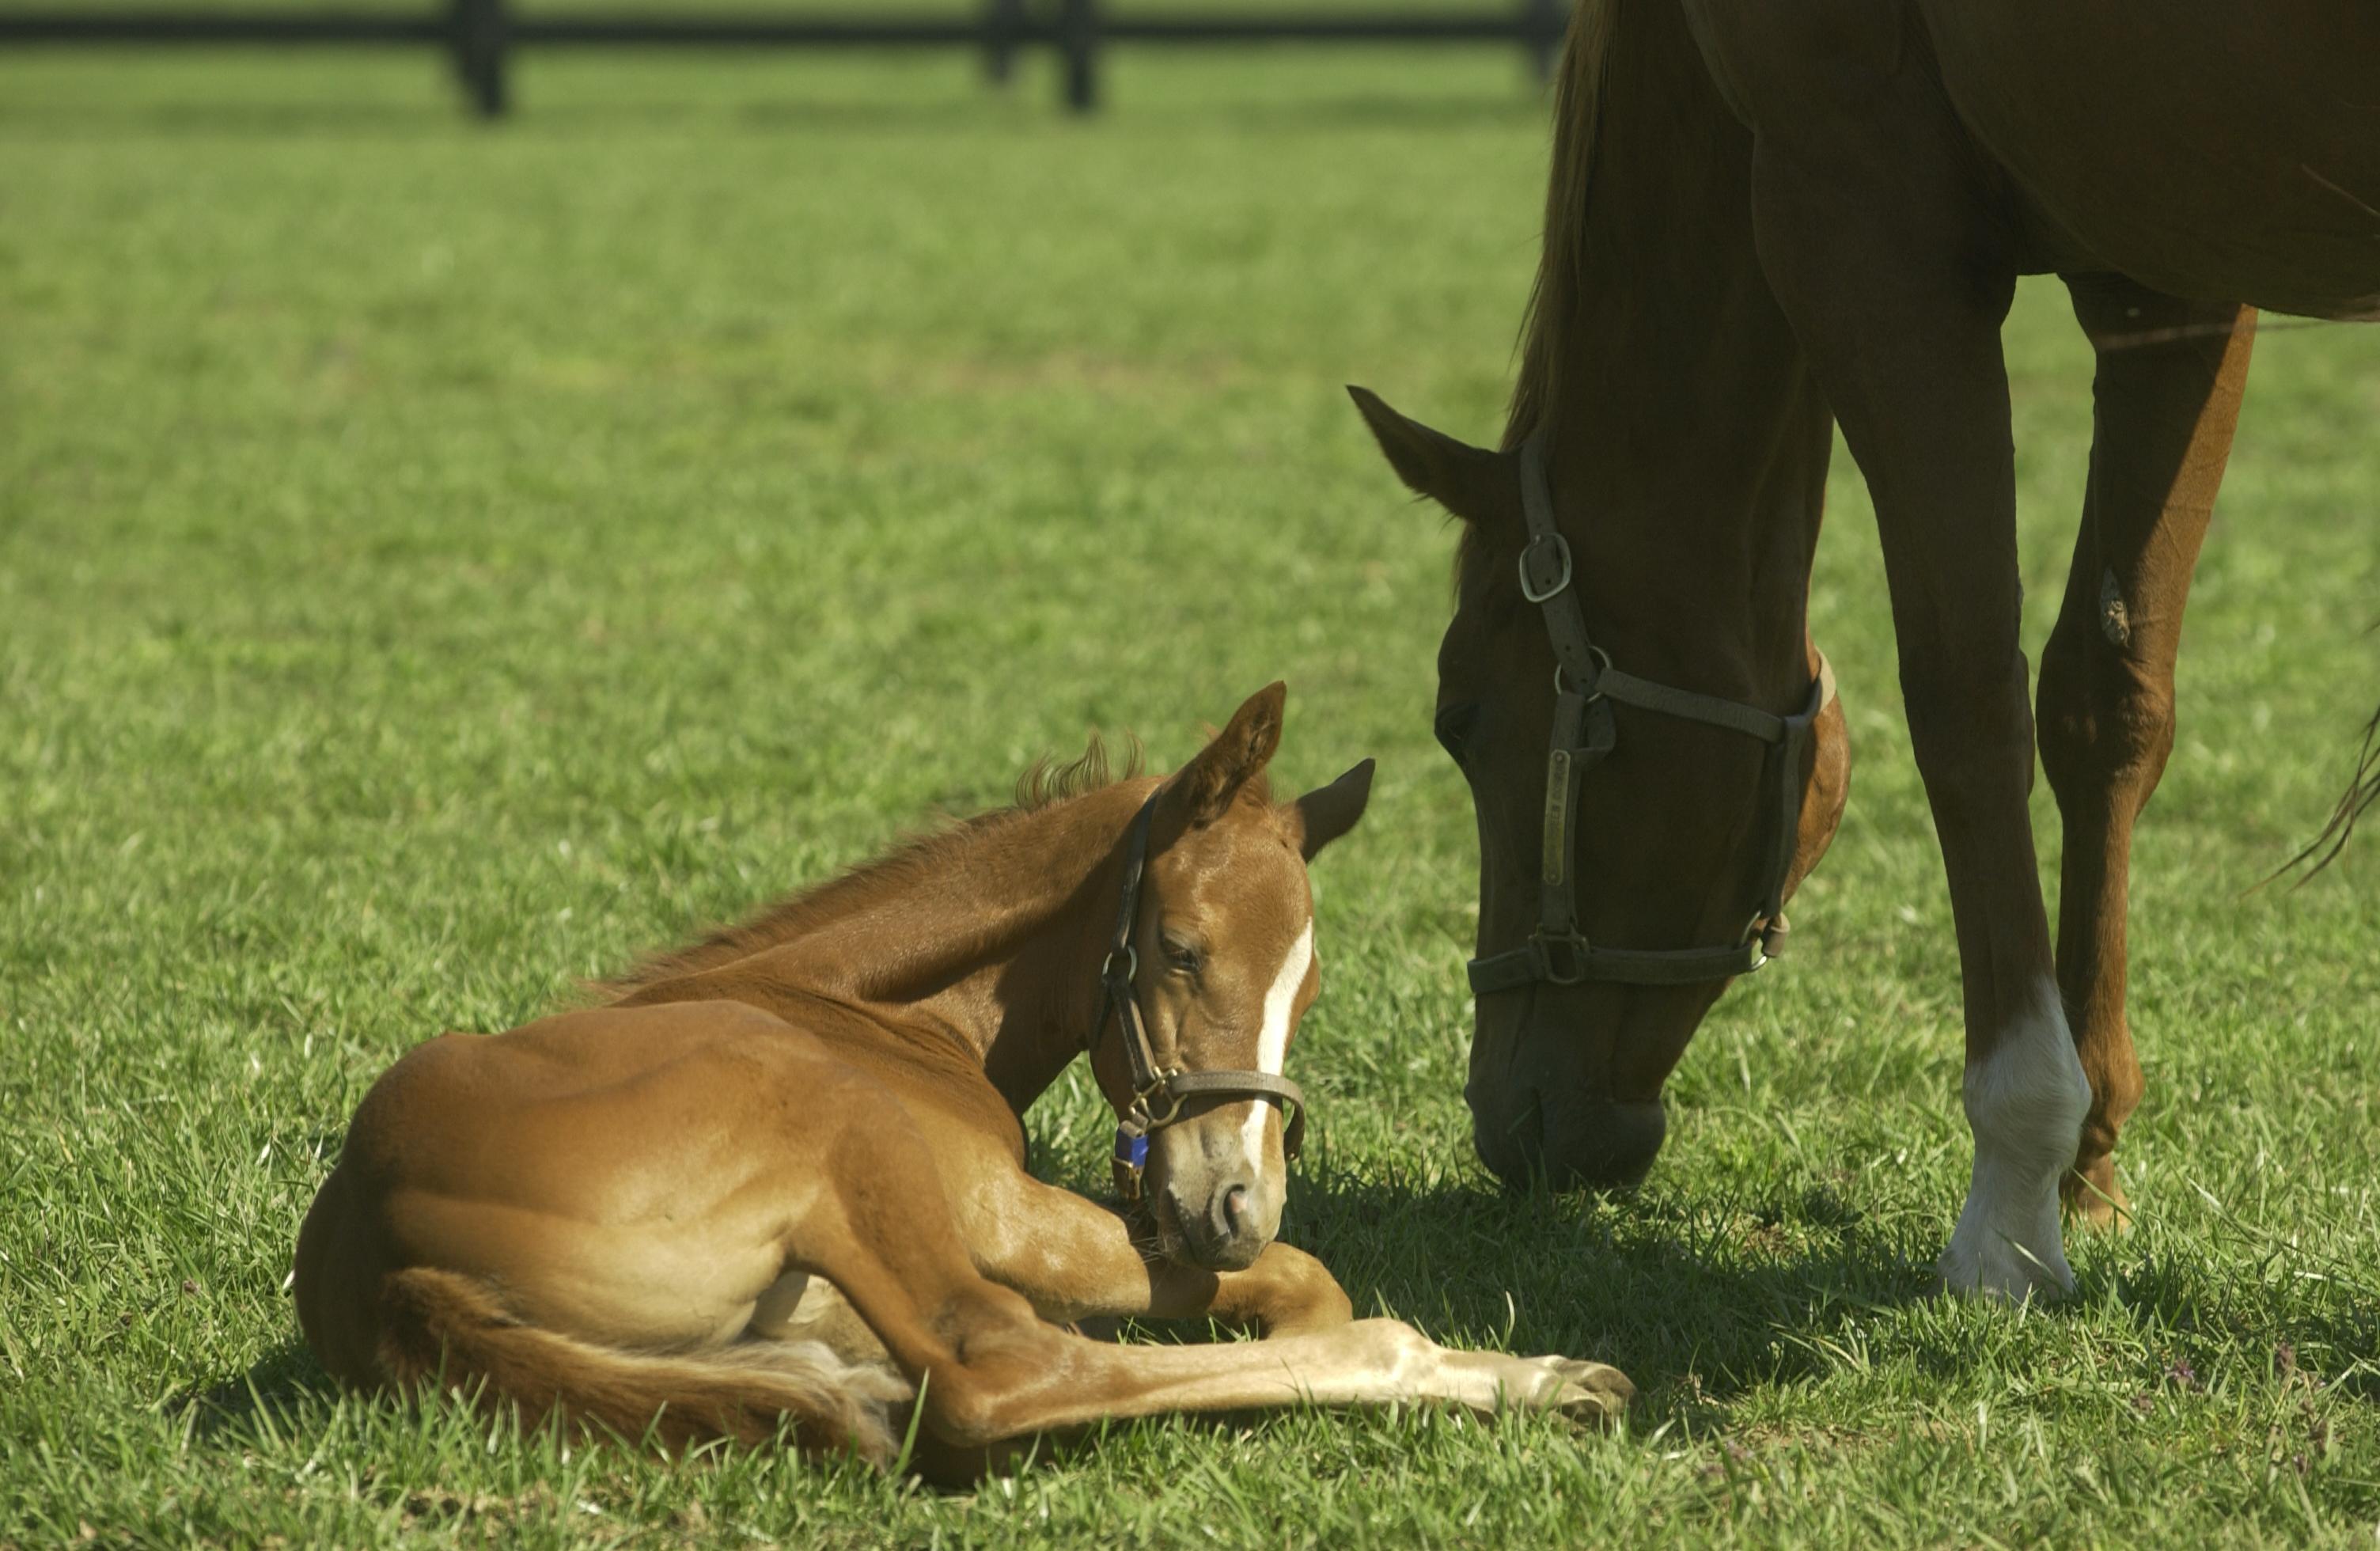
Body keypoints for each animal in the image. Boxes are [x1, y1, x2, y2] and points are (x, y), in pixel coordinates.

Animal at [287, 684, 1637, 1474]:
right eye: (1181, 948)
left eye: (1305, 991)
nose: (1236, 1208)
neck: (868, 1011)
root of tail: (375, 1255)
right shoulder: (1001, 1207)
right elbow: (1308, 1287)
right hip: (848, 1143)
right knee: (1000, 1369)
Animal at [1361, 0, 2380, 1303]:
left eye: (1462, 723)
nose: (1512, 1125)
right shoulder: (2166, 273)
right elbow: (2105, 698)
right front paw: (2087, 1164)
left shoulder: (1860, 219)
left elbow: (1965, 694)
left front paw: (2012, 1194)